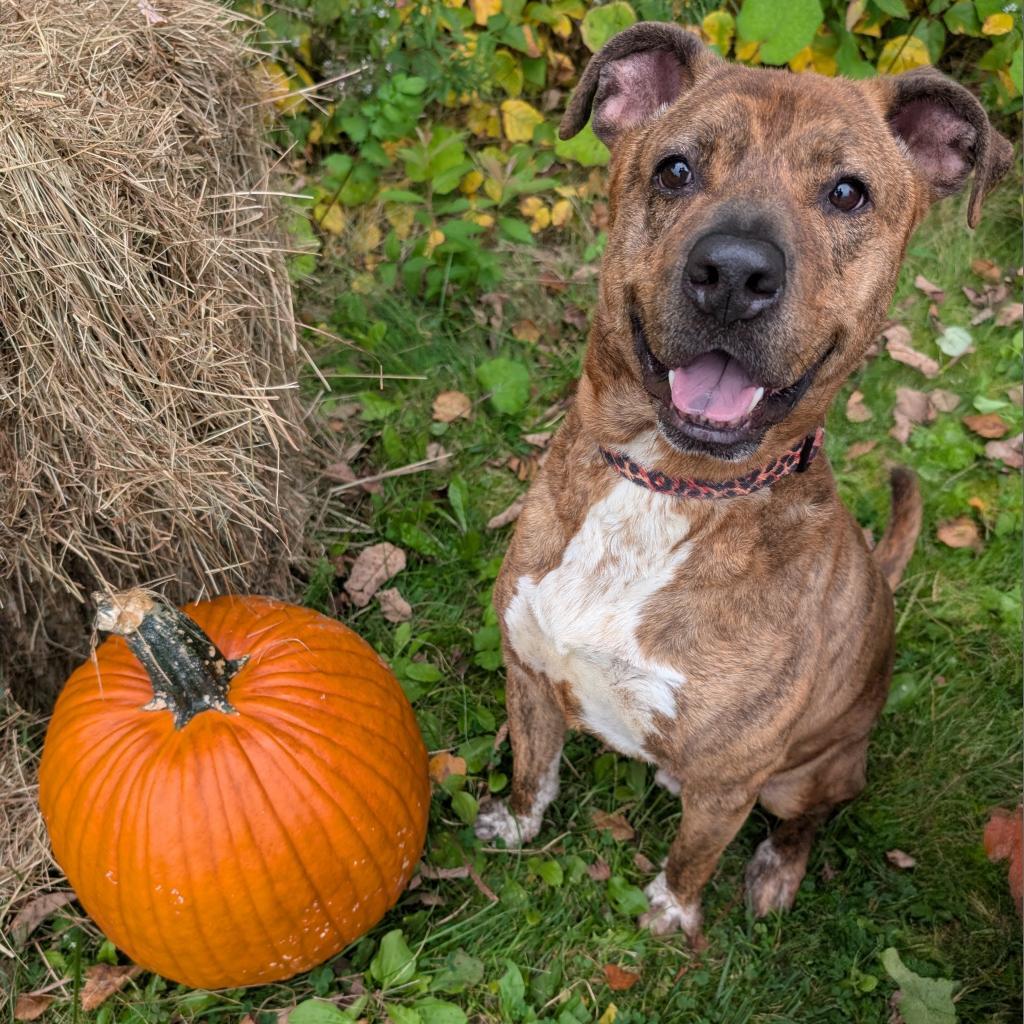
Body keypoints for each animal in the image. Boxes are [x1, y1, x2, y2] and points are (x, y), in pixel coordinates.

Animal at [473, 24, 1015, 946]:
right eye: (674, 170)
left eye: (847, 193)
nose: (733, 273)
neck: (667, 487)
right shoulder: (530, 673)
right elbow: (532, 768)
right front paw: (515, 821)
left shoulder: (731, 782)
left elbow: (693, 857)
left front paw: (668, 915)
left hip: (807, 774)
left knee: (809, 817)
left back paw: (775, 871)